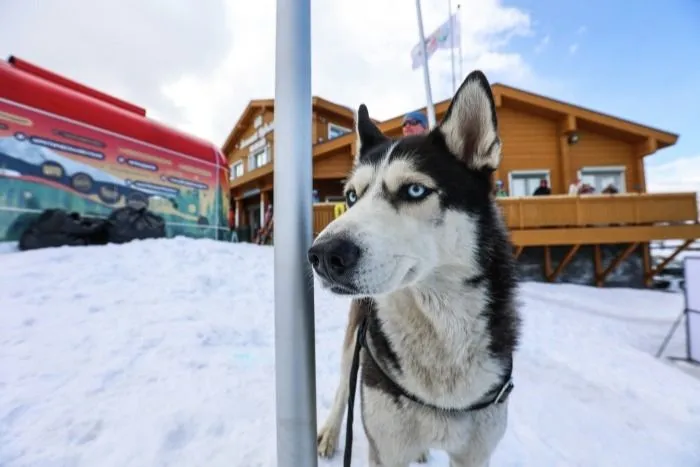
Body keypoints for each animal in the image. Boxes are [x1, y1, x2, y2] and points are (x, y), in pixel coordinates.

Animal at [308, 70, 520, 467]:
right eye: (352, 197)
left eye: (415, 191)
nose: (323, 255)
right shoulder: (385, 447)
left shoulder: (475, 454)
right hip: (354, 343)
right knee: (344, 385)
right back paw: (329, 432)